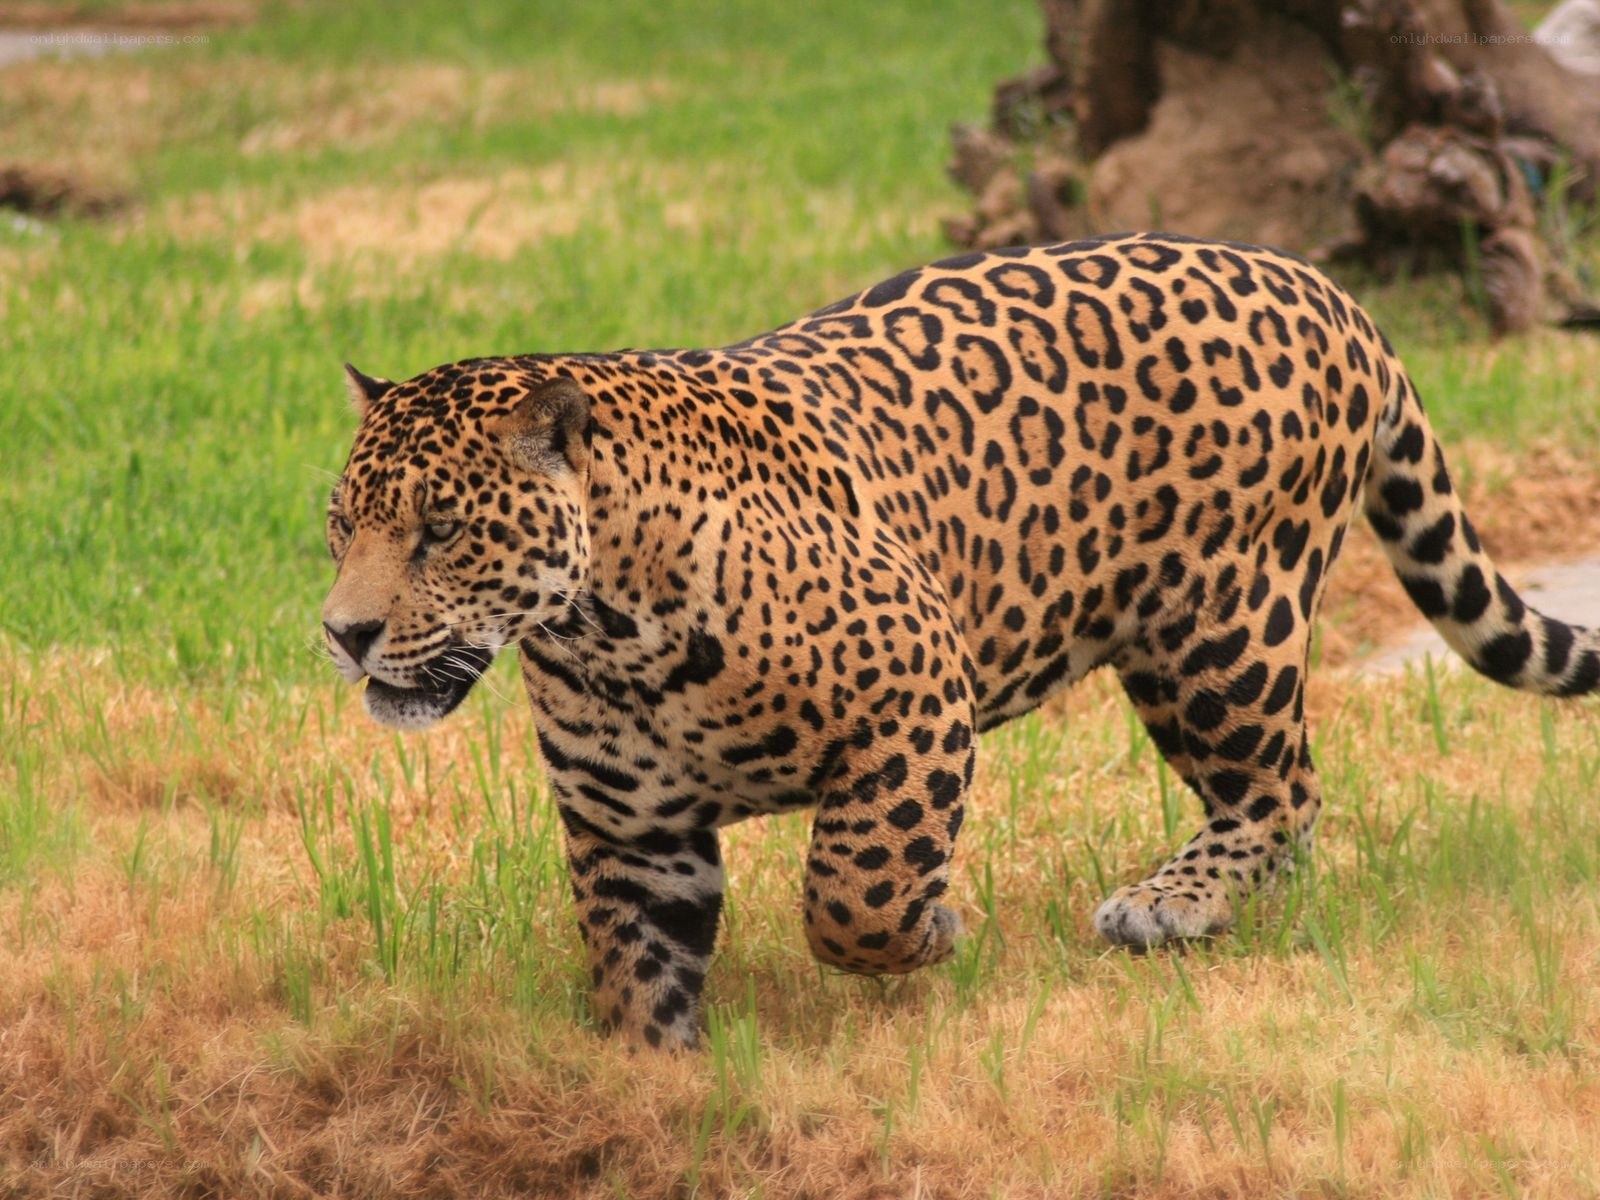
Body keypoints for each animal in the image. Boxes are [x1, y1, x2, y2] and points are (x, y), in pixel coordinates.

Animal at [321, 232, 1599, 1050]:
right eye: (341, 526)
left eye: (441, 531)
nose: (343, 633)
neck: (606, 632)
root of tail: (1326, 289)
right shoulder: (630, 830)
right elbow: (640, 978)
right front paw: (659, 1087)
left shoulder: (915, 694)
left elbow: (854, 893)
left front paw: (931, 931)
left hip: (1215, 630)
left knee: (1282, 790)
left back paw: (1171, 905)